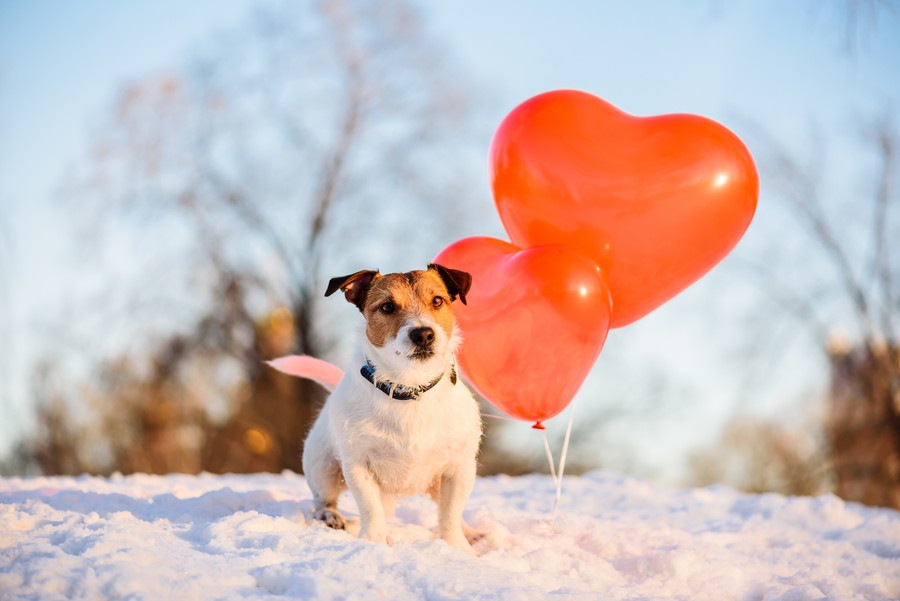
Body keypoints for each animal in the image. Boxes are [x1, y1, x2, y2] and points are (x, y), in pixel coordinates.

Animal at [276, 262, 482, 552]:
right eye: (387, 307)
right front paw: (372, 542)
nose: (423, 334)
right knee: (321, 500)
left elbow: (451, 513)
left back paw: (472, 532)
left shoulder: (458, 467)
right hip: (323, 467)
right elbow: (370, 509)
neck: (409, 387)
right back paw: (330, 516)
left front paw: (457, 547)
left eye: (437, 301)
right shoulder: (358, 464)